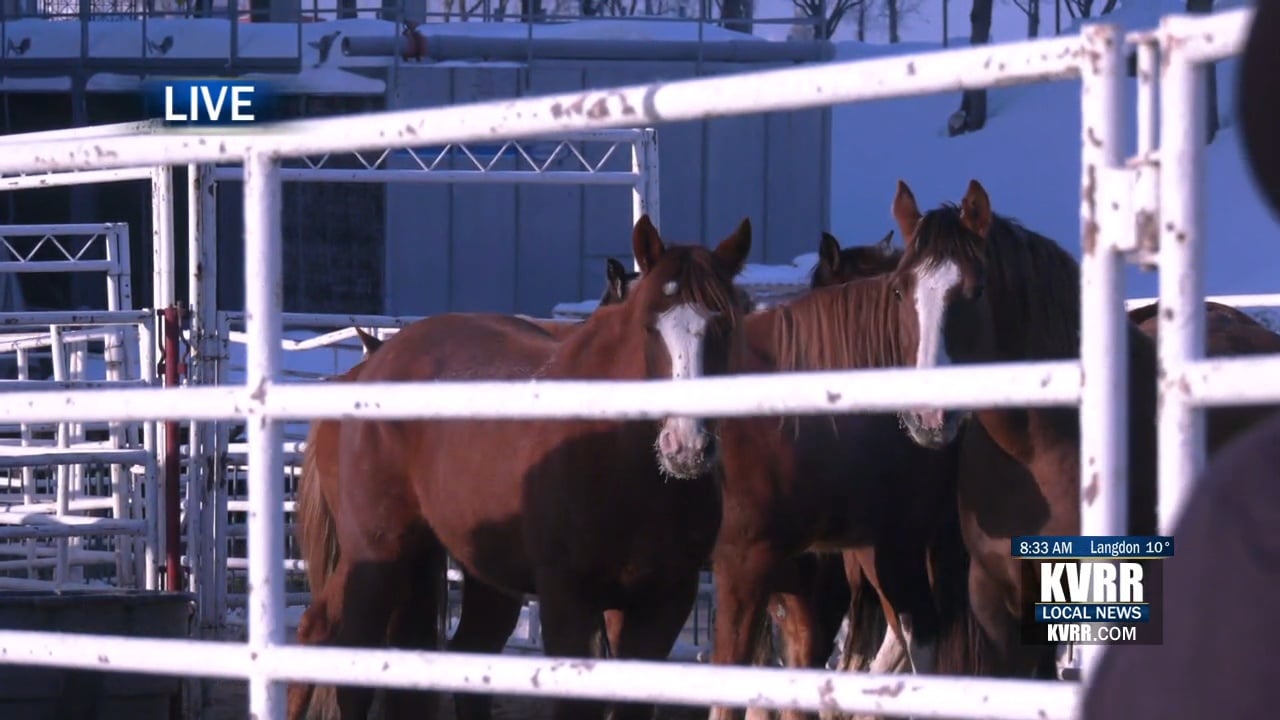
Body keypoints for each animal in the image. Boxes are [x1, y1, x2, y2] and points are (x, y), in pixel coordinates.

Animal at [291, 213, 752, 717]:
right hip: (377, 555)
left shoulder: (662, 601)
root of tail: (363, 374)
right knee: (329, 640)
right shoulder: (567, 598)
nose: (686, 446)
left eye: (727, 325)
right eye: (650, 325)